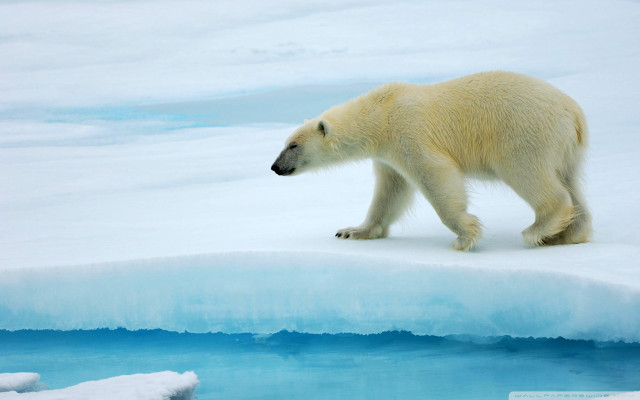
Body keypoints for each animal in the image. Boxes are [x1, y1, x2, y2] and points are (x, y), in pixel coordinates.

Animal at [271, 71, 592, 251]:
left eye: (293, 145)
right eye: (285, 143)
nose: (275, 167)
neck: (380, 114)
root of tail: (574, 112)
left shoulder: (408, 132)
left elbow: (435, 175)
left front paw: (465, 235)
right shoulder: (387, 155)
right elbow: (390, 191)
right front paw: (352, 231)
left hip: (523, 133)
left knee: (529, 175)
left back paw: (539, 229)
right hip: (566, 149)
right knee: (571, 182)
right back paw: (567, 234)